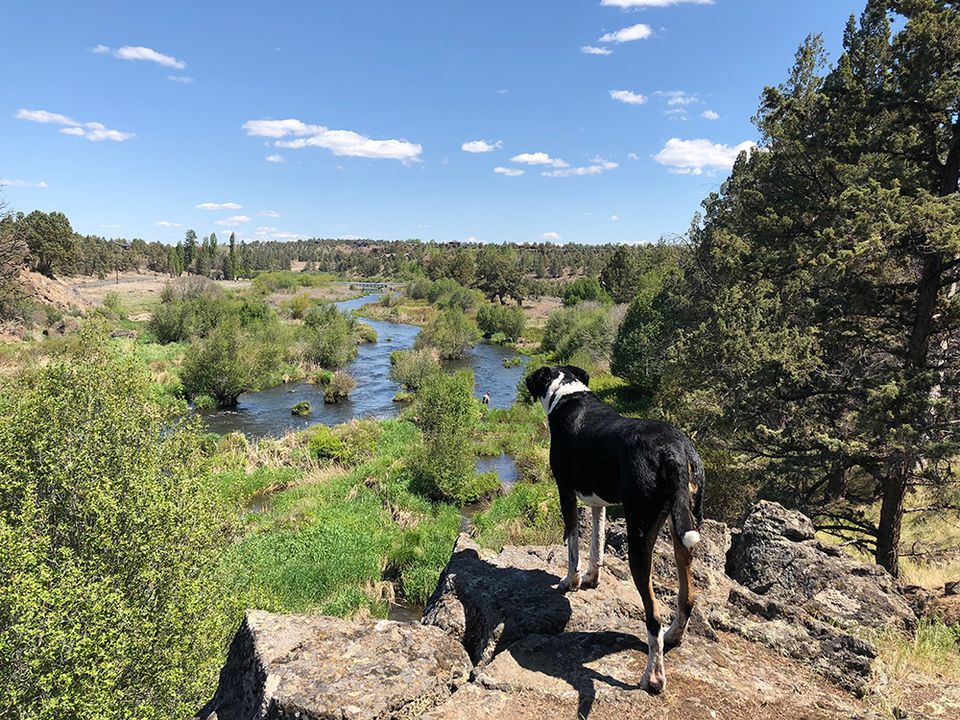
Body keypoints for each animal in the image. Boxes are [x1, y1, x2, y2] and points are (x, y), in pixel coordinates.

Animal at [524, 366, 704, 692]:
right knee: (687, 597)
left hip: (640, 538)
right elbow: (597, 541)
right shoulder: (599, 501)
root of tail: (674, 452)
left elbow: (573, 546)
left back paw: (653, 677)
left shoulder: (565, 492)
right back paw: (674, 636)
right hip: (682, 530)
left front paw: (570, 581)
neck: (568, 395)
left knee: (653, 616)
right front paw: (592, 577)